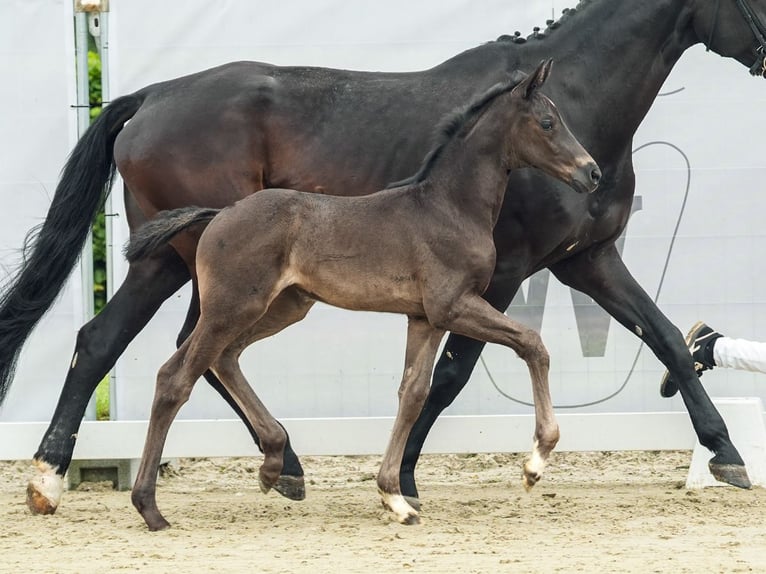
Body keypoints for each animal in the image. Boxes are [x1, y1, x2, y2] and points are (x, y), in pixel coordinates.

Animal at [129, 60, 604, 532]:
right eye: (547, 122)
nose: (593, 172)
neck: (449, 207)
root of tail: (219, 214)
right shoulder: (454, 305)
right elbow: (532, 343)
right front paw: (535, 464)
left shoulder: (425, 318)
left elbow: (413, 393)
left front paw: (394, 497)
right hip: (232, 307)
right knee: (178, 379)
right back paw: (151, 508)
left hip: (282, 306)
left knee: (218, 360)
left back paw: (272, 466)